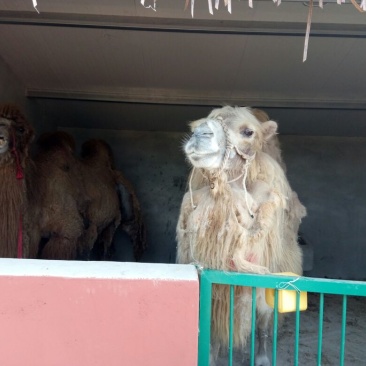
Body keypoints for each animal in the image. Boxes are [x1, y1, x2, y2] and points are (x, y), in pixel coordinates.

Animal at [177, 106, 306, 366]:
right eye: (196, 125)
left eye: (248, 132)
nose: (200, 135)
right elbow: (214, 327)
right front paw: (212, 356)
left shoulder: (269, 268)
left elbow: (264, 317)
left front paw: (263, 358)